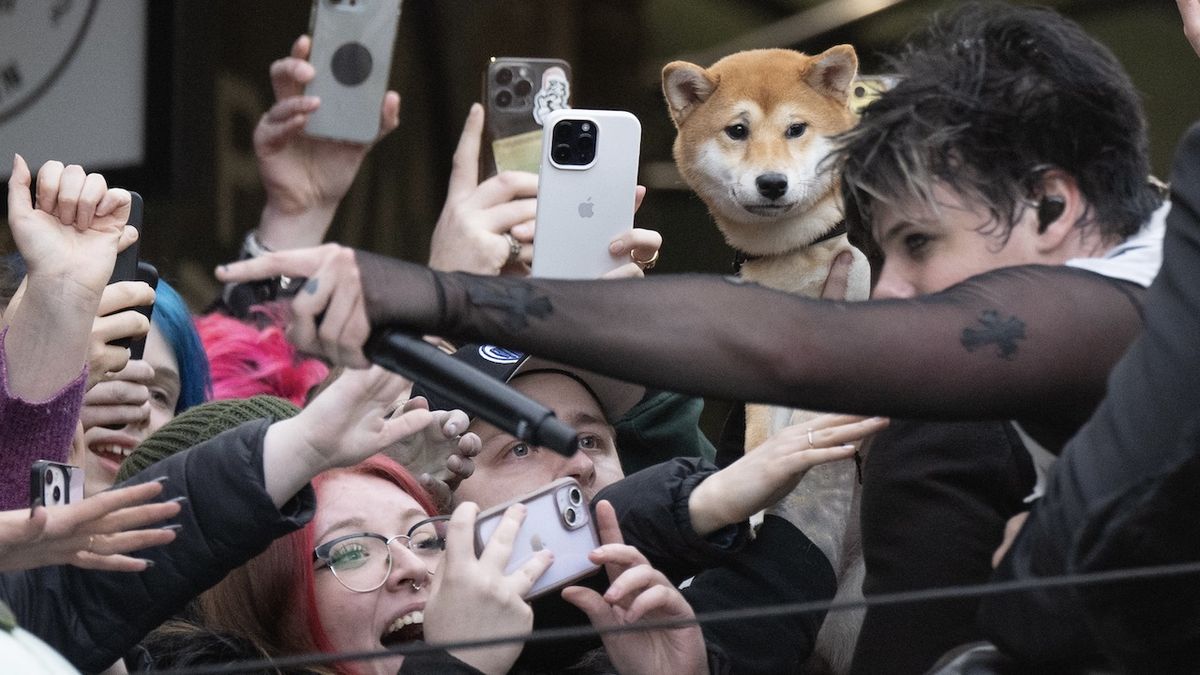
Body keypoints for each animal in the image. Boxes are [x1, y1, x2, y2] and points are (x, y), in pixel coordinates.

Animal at [667, 45, 873, 667]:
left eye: (795, 129)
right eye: (737, 131)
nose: (772, 182)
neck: (793, 258)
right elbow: (760, 439)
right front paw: (755, 498)